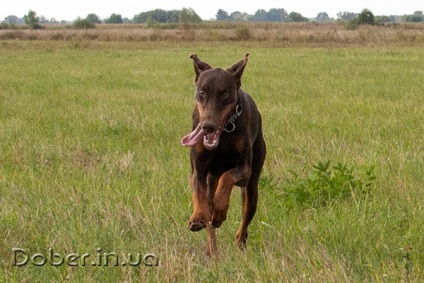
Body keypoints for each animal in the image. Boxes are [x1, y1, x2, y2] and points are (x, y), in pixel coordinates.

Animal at [181, 53, 266, 258]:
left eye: (225, 94)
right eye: (201, 92)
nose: (207, 126)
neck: (224, 133)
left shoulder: (244, 170)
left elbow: (228, 177)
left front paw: (220, 209)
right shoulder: (198, 170)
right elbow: (198, 191)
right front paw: (198, 216)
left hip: (252, 188)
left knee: (245, 217)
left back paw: (239, 240)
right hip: (212, 180)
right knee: (210, 218)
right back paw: (212, 250)